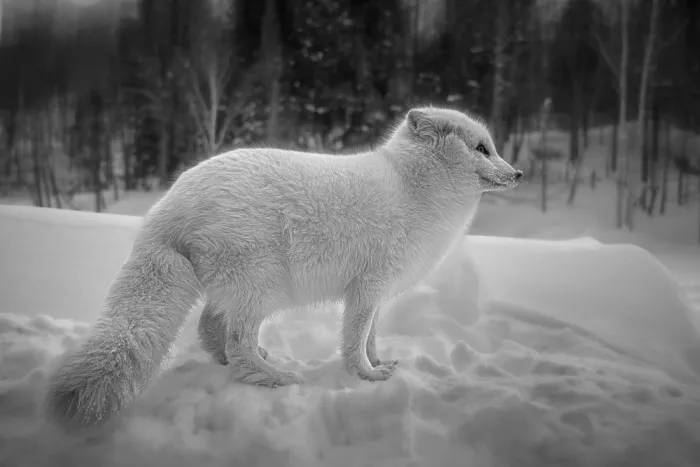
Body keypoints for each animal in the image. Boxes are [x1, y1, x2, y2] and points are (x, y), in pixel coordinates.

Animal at [44, 107, 522, 431]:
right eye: (482, 148)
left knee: (212, 328)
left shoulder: (377, 294)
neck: (413, 189)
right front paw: (366, 377)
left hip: (243, 290)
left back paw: (246, 362)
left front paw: (380, 363)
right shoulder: (367, 289)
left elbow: (370, 338)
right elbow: (353, 342)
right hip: (263, 287)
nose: (517, 173)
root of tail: (167, 206)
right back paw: (272, 378)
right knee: (236, 342)